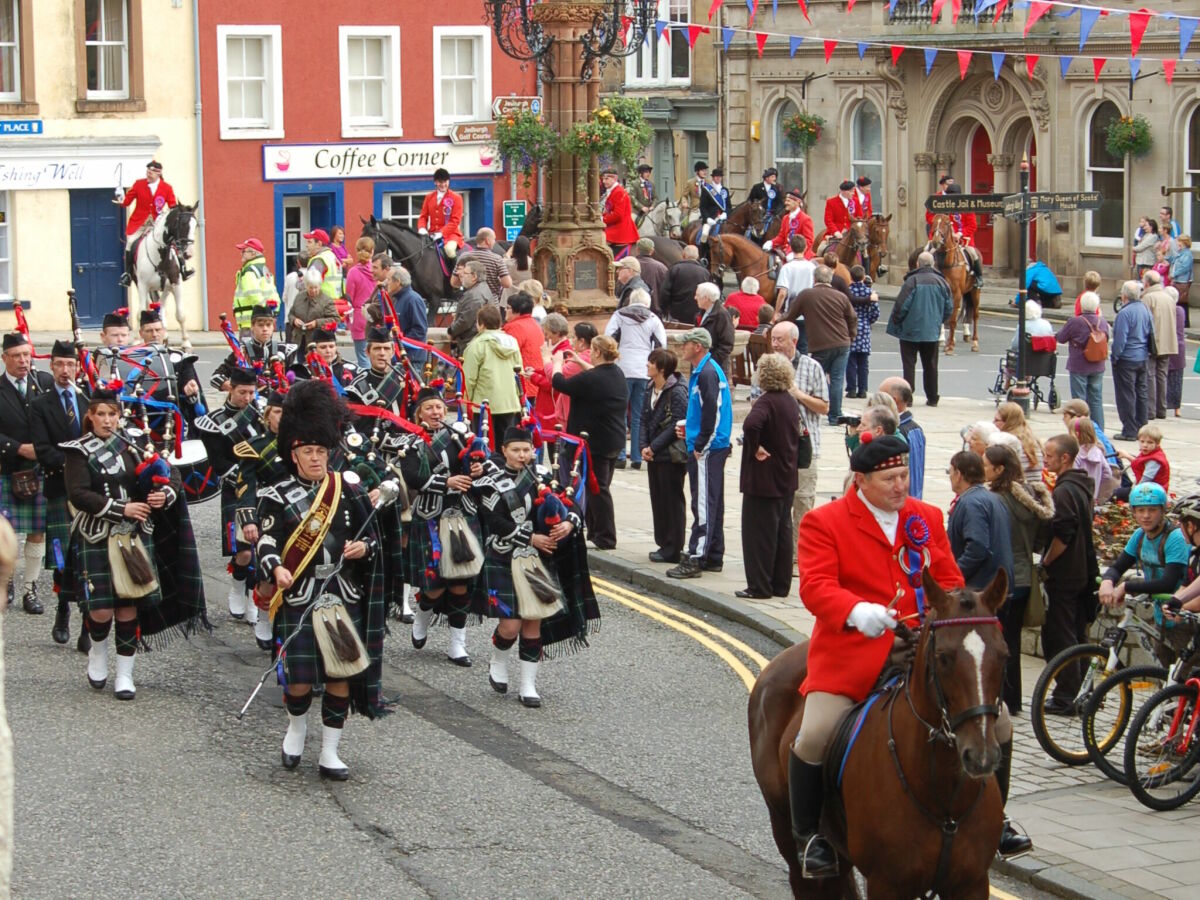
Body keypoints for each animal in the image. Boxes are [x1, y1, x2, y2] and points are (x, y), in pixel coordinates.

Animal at [129, 204, 196, 348]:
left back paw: (164, 334)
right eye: (182, 223)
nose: (188, 253)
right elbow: (140, 313)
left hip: (166, 287)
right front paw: (136, 339)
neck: (160, 256)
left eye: (196, 225)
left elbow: (180, 314)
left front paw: (186, 342)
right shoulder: (142, 285)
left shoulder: (176, 283)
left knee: (161, 306)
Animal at [744, 571, 1008, 900]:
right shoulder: (887, 883)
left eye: (1003, 654)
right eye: (943, 657)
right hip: (788, 835)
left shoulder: (971, 883)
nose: (981, 756)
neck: (944, 798)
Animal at [921, 217, 979, 357]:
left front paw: (950, 346)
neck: (946, 262)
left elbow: (952, 320)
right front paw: (942, 341)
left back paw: (974, 343)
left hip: (975, 292)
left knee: (975, 315)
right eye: (934, 222)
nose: (936, 241)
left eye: (946, 224)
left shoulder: (956, 293)